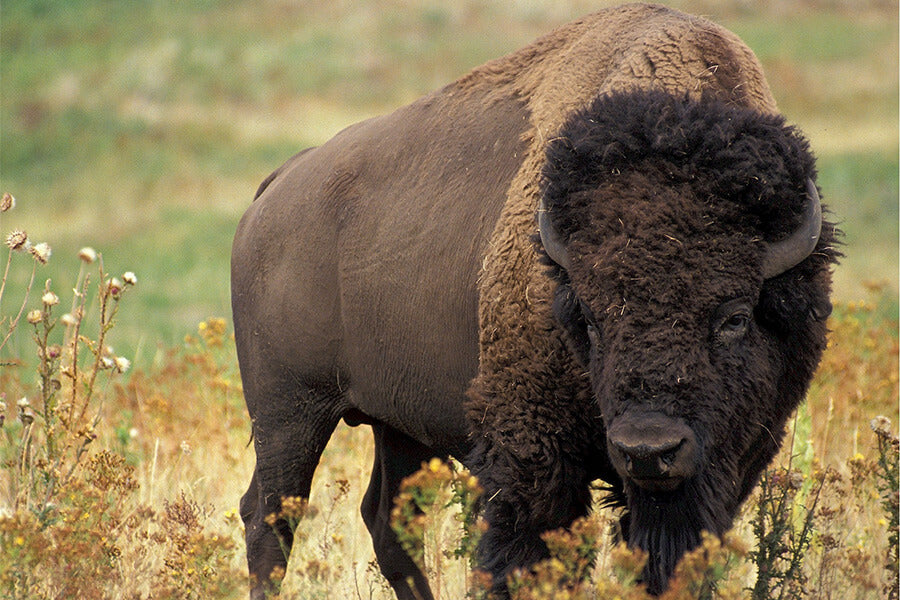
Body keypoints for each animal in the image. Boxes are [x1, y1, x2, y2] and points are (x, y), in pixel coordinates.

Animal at [230, 2, 836, 596]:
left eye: (735, 317)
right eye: (588, 319)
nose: (648, 449)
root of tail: (277, 187)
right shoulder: (531, 451)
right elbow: (526, 554)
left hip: (396, 423)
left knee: (386, 522)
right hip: (289, 411)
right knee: (270, 520)